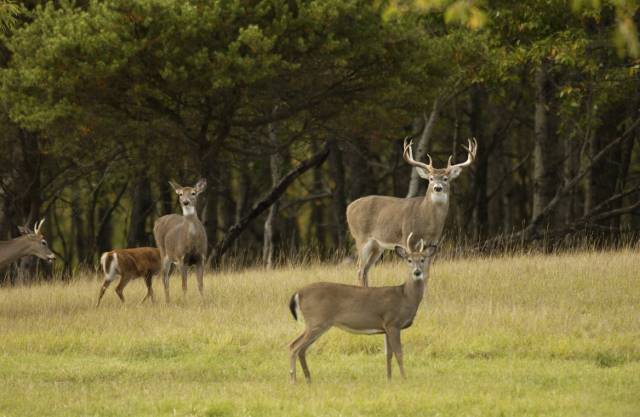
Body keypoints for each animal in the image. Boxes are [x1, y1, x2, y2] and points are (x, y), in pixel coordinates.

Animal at [288, 233, 437, 384]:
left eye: (423, 259)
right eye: (409, 260)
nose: (417, 272)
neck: (405, 296)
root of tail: (298, 293)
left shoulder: (386, 327)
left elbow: (388, 354)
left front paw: (389, 379)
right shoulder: (393, 322)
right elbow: (399, 353)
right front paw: (404, 378)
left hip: (316, 323)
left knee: (300, 348)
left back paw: (308, 379)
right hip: (316, 321)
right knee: (294, 346)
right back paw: (293, 380)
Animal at [346, 137, 476, 286]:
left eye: (445, 178)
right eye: (431, 178)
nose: (437, 188)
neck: (427, 222)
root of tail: (348, 208)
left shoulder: (433, 243)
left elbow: (426, 273)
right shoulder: (408, 238)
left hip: (377, 245)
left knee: (366, 270)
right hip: (361, 238)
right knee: (359, 269)